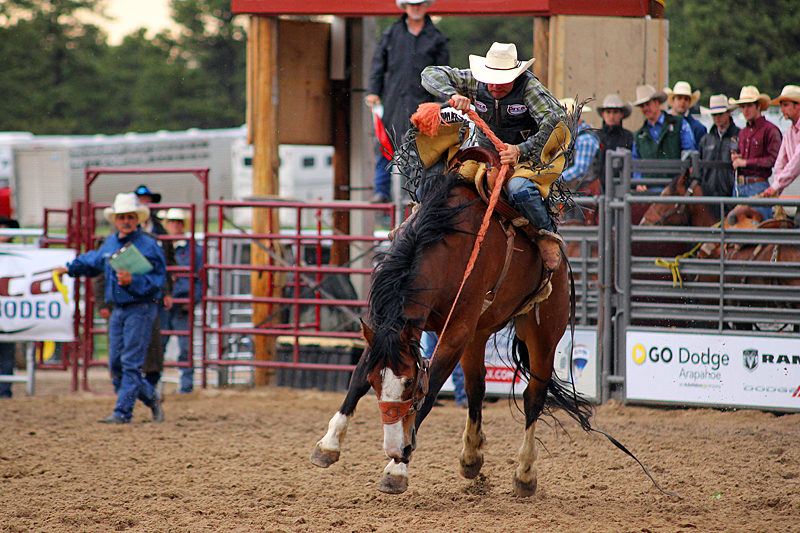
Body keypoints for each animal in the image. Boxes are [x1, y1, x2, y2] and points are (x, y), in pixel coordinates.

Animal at [310, 169, 592, 494]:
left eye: (409, 383)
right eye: (375, 383)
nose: (394, 447)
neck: (447, 246)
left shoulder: (455, 332)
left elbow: (430, 390)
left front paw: (397, 467)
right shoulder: (389, 330)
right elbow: (356, 378)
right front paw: (328, 444)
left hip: (543, 332)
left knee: (534, 395)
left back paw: (525, 473)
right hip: (478, 334)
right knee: (476, 387)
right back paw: (471, 456)